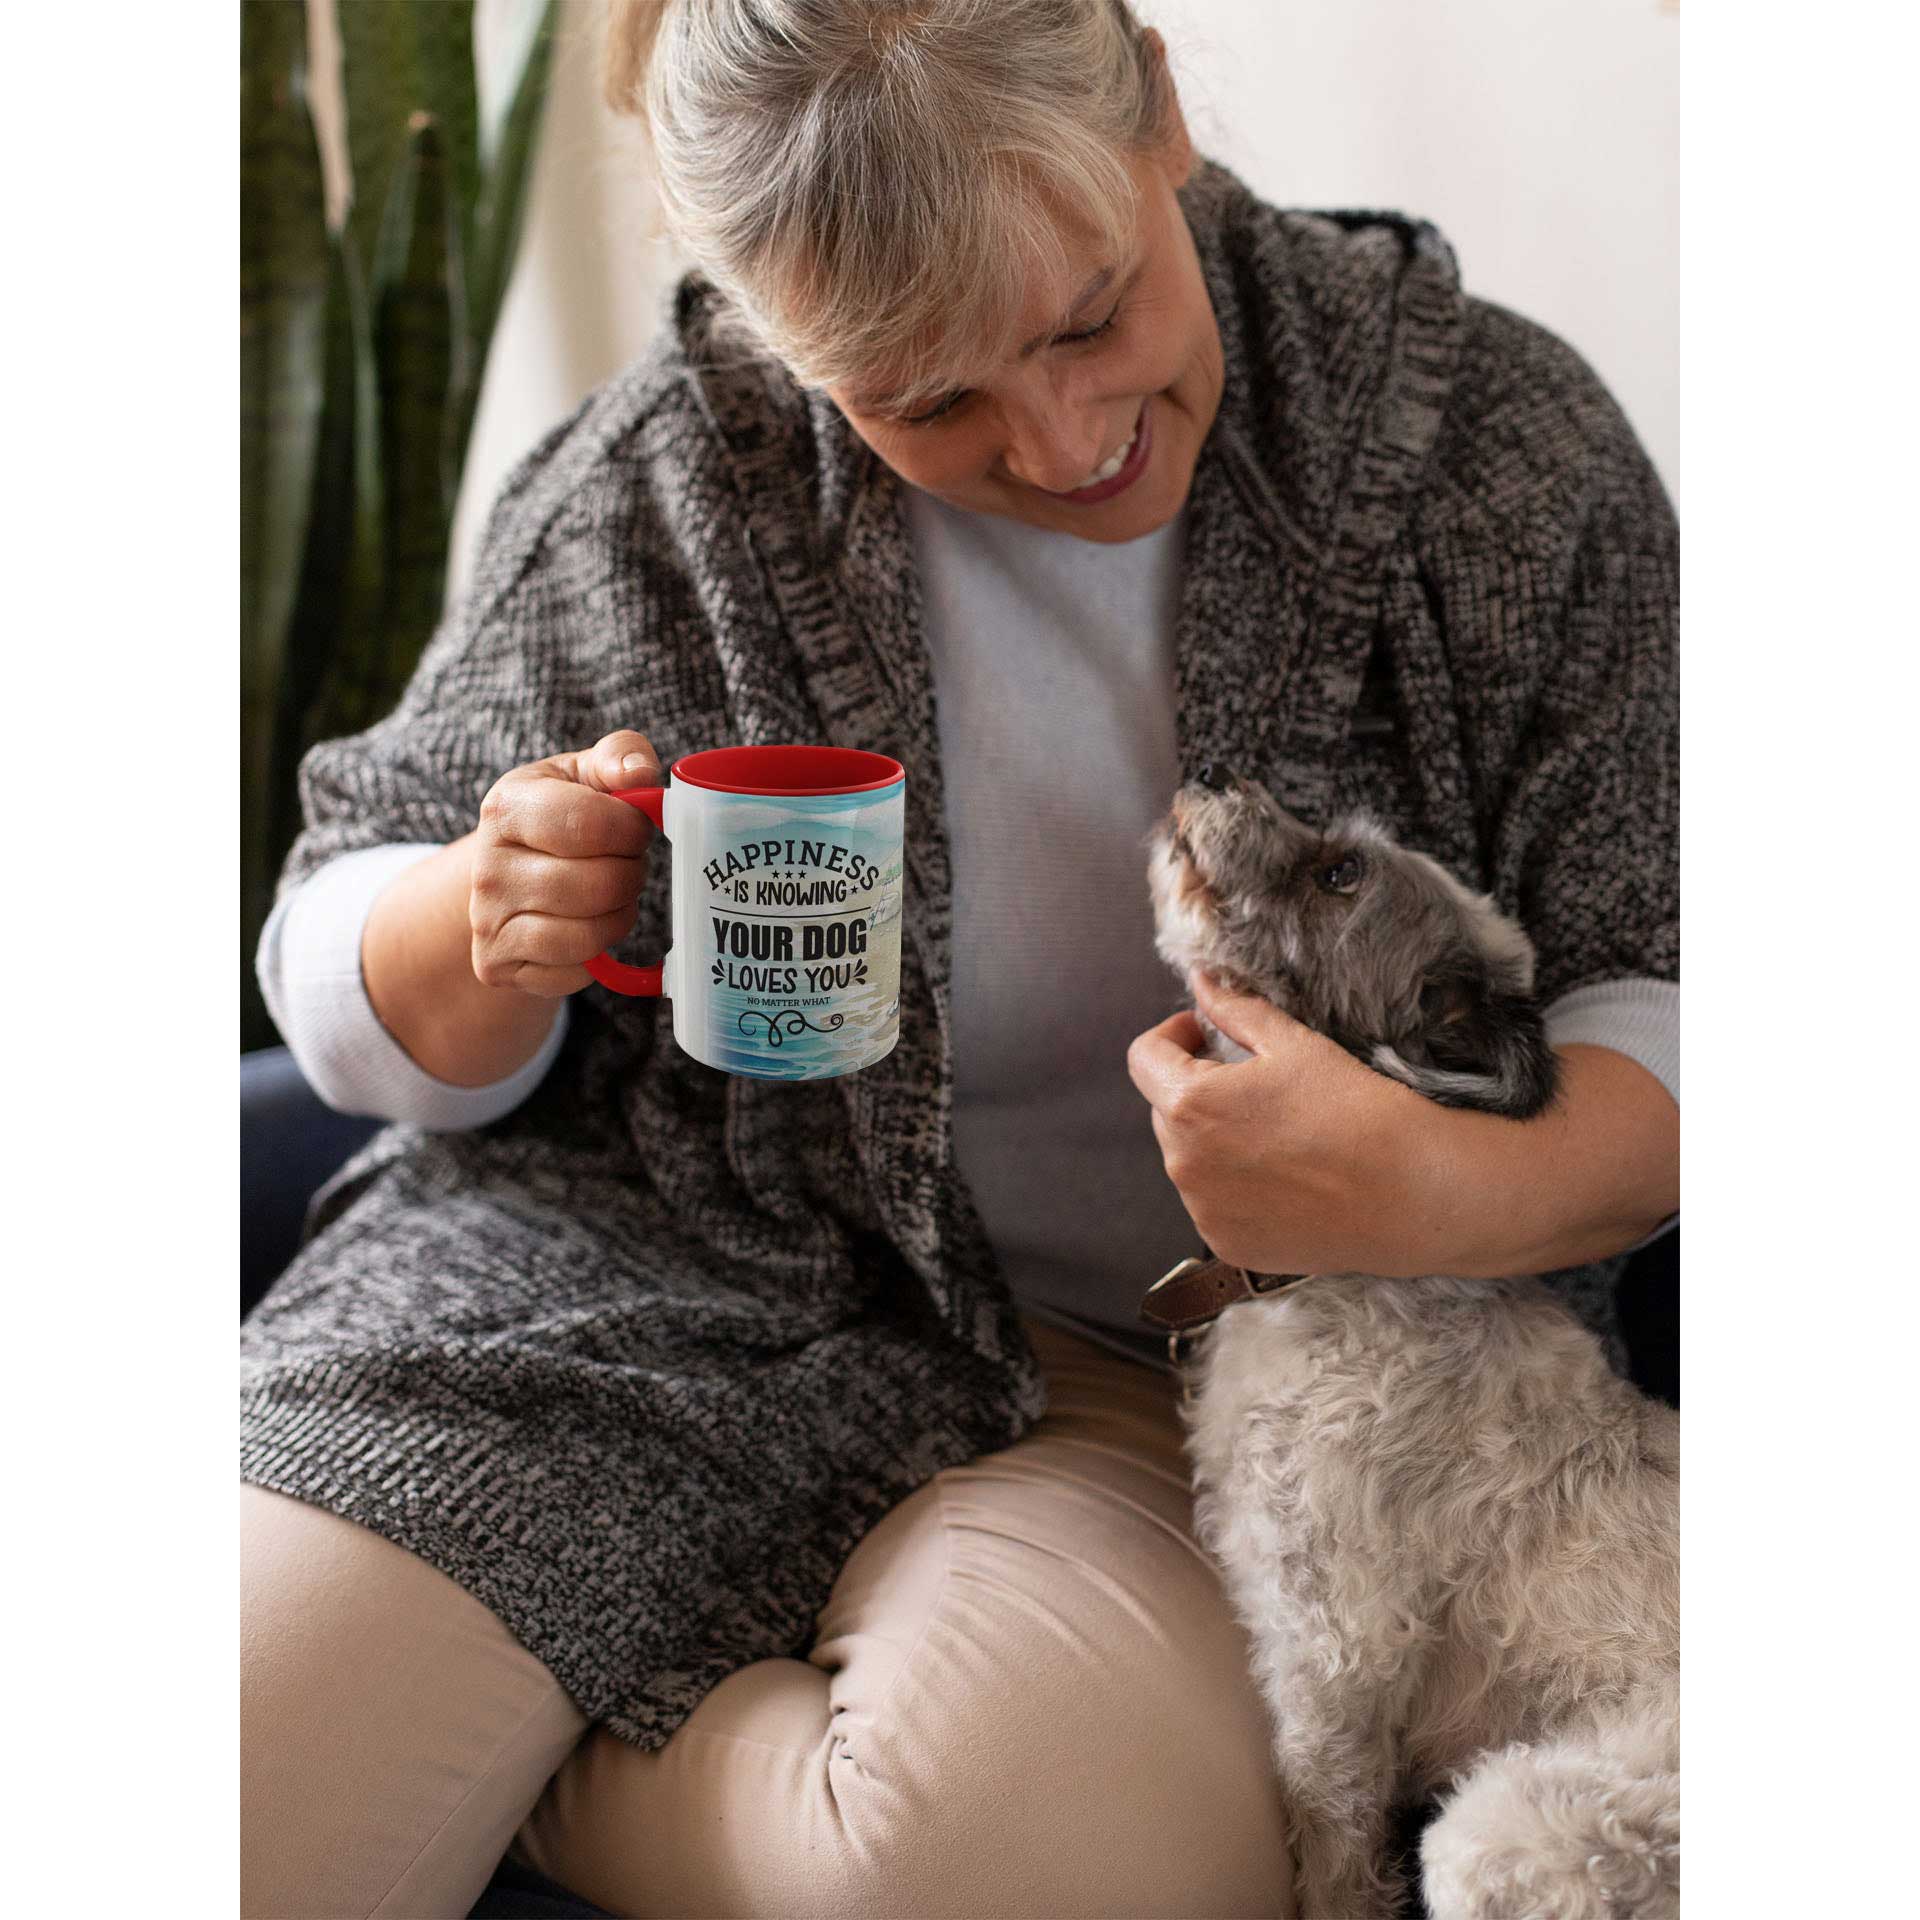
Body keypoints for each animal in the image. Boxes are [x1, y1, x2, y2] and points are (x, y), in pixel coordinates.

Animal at [1144, 764, 1674, 1920]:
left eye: (1342, 873)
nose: (1213, 775)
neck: (1339, 1285)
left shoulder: (1332, 1648)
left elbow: (1334, 1845)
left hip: (1514, 1831)